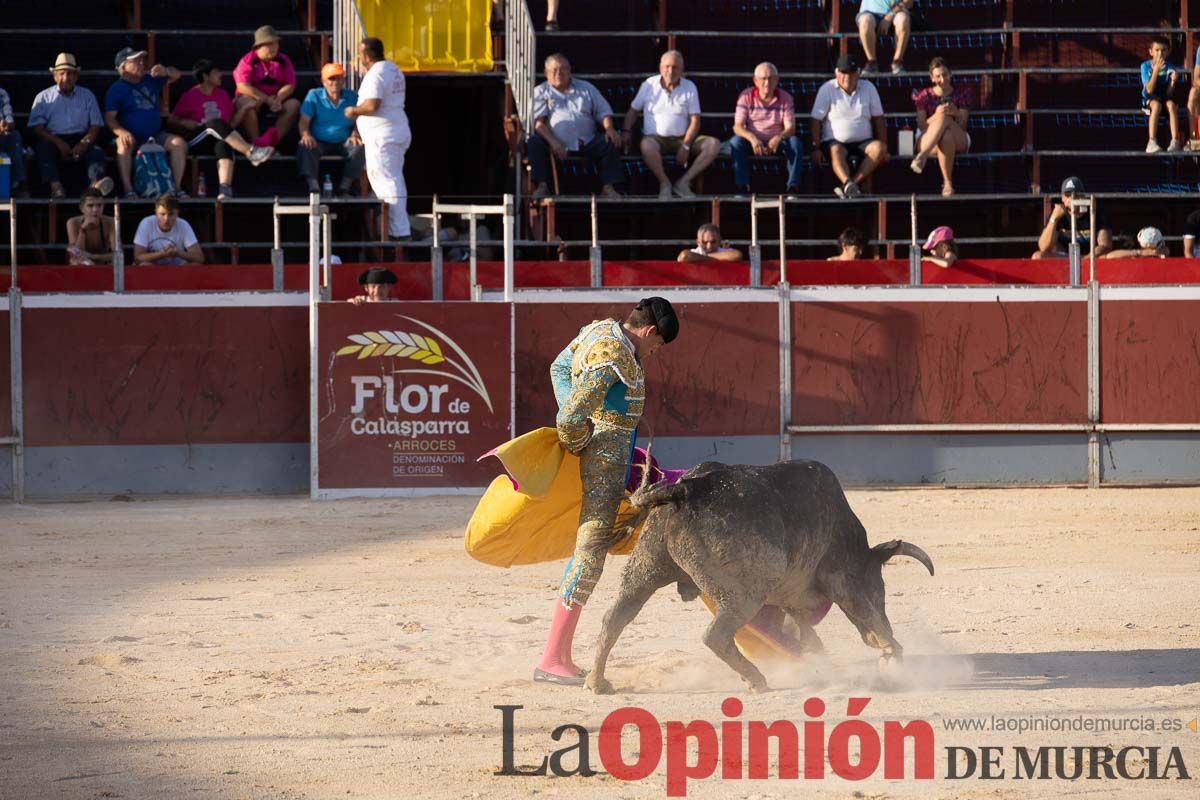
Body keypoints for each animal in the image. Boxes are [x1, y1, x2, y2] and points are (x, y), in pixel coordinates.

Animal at [585, 460, 931, 695]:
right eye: (879, 589)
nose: (875, 638)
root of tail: (684, 489)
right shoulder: (842, 579)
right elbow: (862, 610)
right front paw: (892, 654)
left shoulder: (793, 593)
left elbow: (805, 629)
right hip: (743, 595)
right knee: (715, 635)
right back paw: (756, 680)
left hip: (645, 569)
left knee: (615, 616)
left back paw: (597, 682)